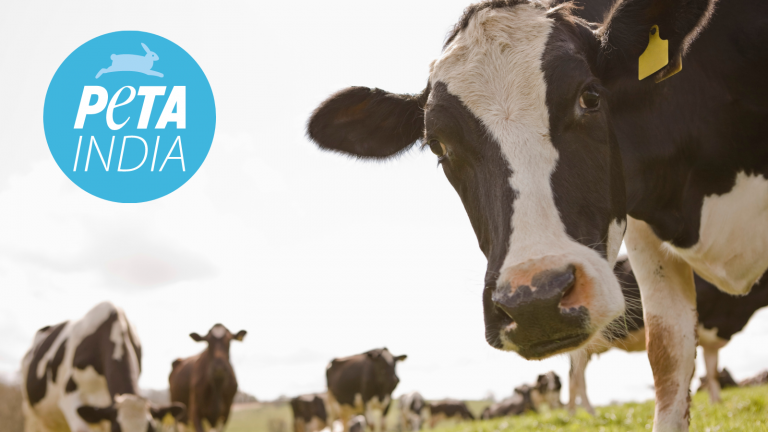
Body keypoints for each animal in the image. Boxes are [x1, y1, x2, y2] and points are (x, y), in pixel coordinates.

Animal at [568, 256, 768, 414]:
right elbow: (690, 371)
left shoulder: (711, 339)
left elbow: (712, 374)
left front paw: (717, 404)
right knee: (575, 378)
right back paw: (582, 413)